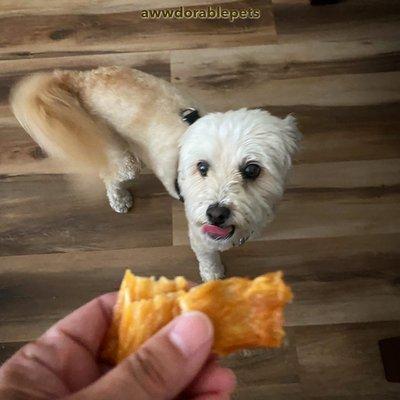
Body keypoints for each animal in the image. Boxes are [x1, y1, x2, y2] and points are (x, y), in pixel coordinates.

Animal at [10, 66, 302, 282]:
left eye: (252, 169)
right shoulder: (201, 238)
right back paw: (119, 198)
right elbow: (209, 261)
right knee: (110, 175)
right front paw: (214, 276)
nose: (216, 213)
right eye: (202, 167)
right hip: (119, 154)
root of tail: (82, 79)